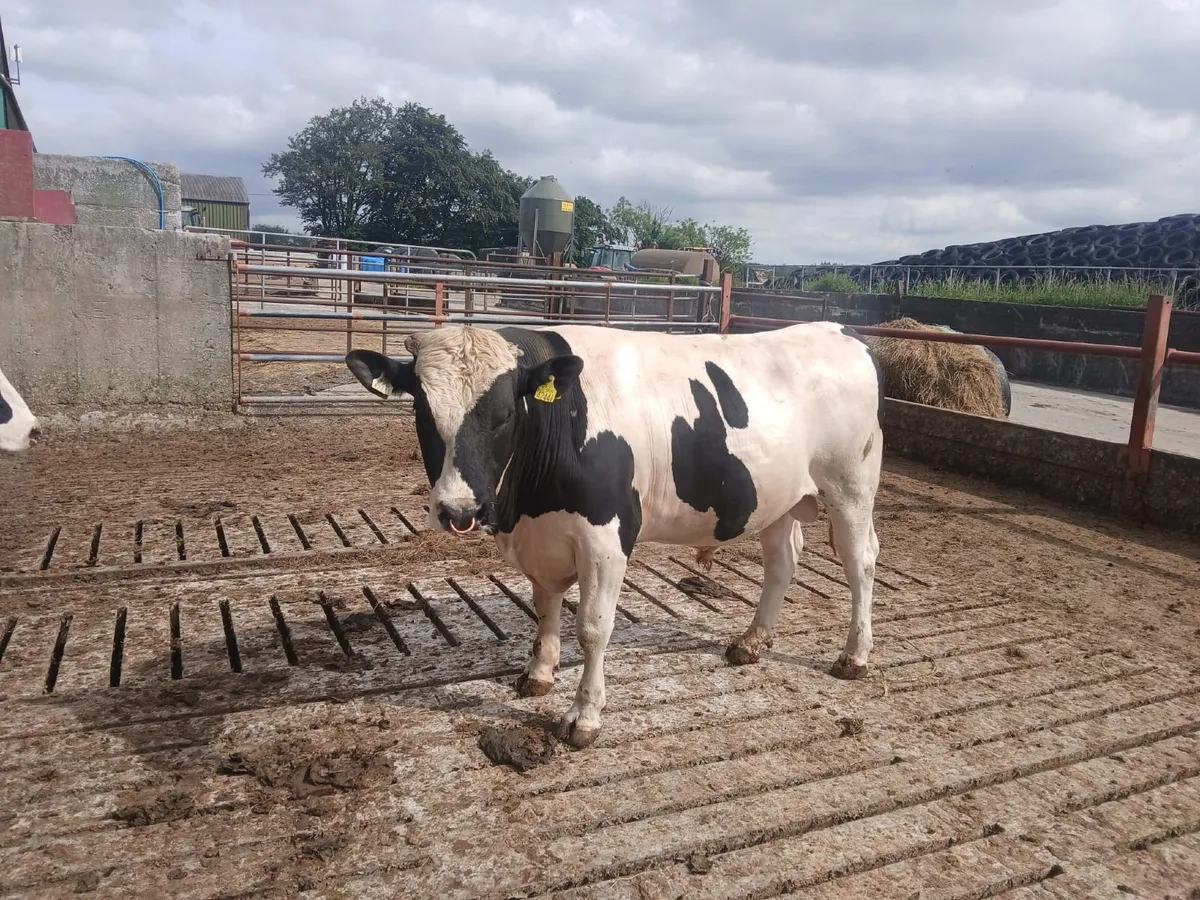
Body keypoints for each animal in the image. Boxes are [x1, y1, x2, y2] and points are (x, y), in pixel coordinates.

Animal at [345, 321, 883, 748]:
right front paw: (538, 675)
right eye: (423, 410)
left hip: (851, 488)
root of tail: (838, 330)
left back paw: (854, 656)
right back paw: (751, 642)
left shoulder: (605, 540)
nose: (460, 509)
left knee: (860, 562)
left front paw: (583, 716)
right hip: (779, 499)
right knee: (782, 562)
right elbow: (545, 608)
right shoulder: (543, 539)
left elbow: (592, 628)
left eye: (504, 415)